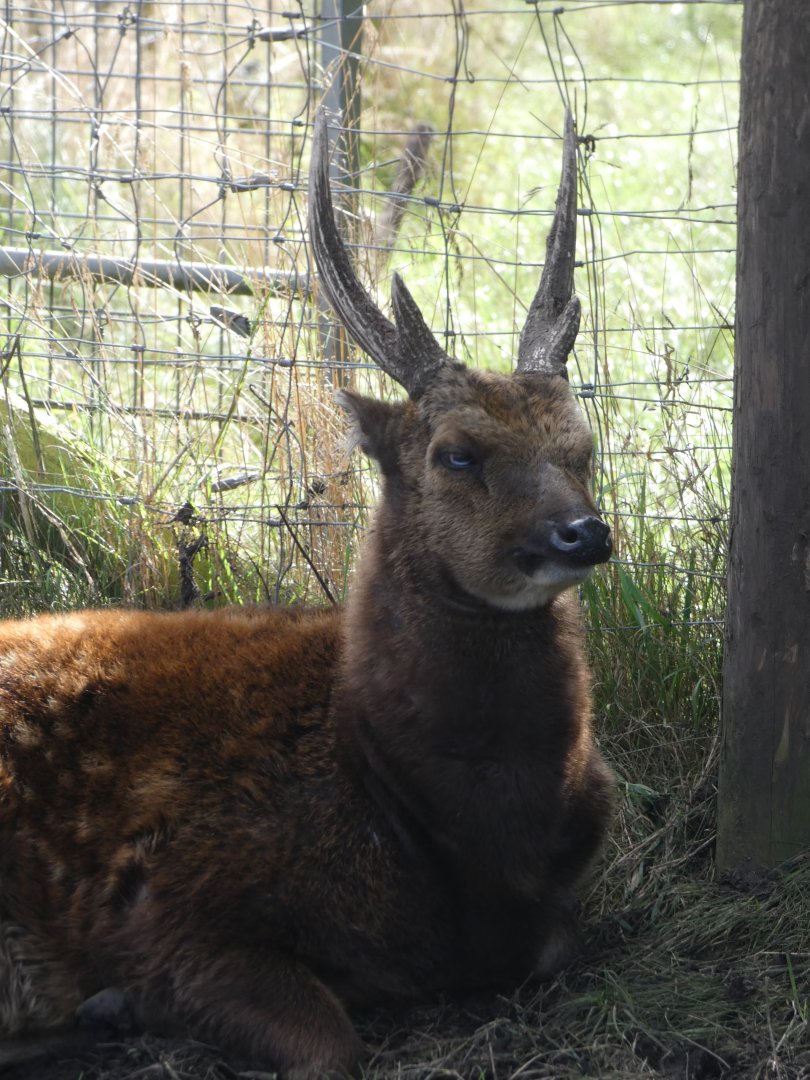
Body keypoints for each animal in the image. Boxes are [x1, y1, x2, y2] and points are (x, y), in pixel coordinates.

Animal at [0, 108, 615, 1080]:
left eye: (581, 446)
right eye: (458, 453)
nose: (583, 533)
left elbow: (558, 946)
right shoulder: (168, 904)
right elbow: (332, 1047)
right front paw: (119, 1004)